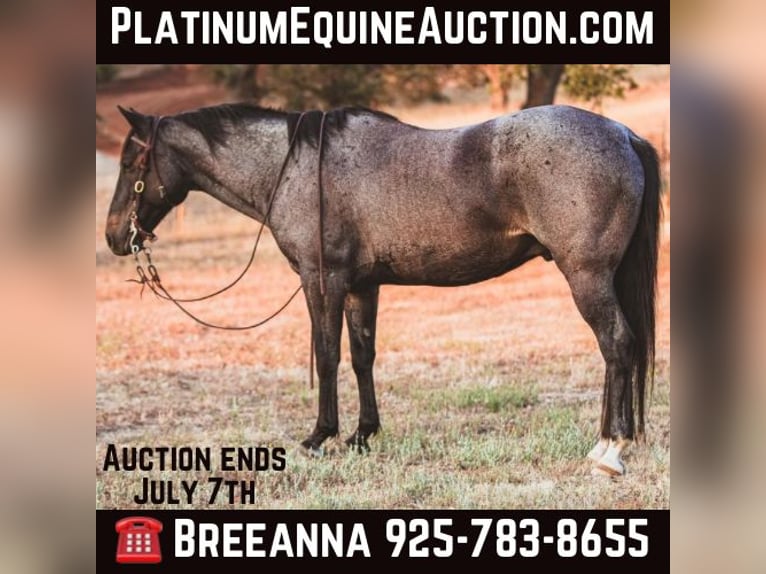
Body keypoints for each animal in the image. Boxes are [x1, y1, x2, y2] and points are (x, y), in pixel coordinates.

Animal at [105, 103, 661, 476]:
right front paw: (361, 435)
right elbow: (361, 357)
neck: (298, 167)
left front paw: (319, 437)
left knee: (617, 344)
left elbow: (327, 355)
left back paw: (611, 449)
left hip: (586, 276)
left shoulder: (322, 281)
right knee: (619, 351)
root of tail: (622, 133)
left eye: (132, 164)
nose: (114, 237)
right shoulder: (361, 287)